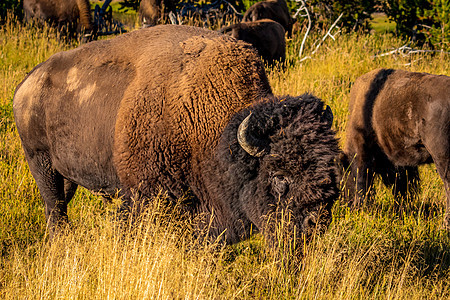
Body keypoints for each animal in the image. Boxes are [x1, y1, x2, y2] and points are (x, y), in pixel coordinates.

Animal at [12, 24, 340, 245]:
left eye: (331, 174)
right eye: (280, 177)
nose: (315, 224)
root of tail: (28, 82)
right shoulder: (143, 195)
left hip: (66, 173)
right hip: (39, 161)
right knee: (54, 208)